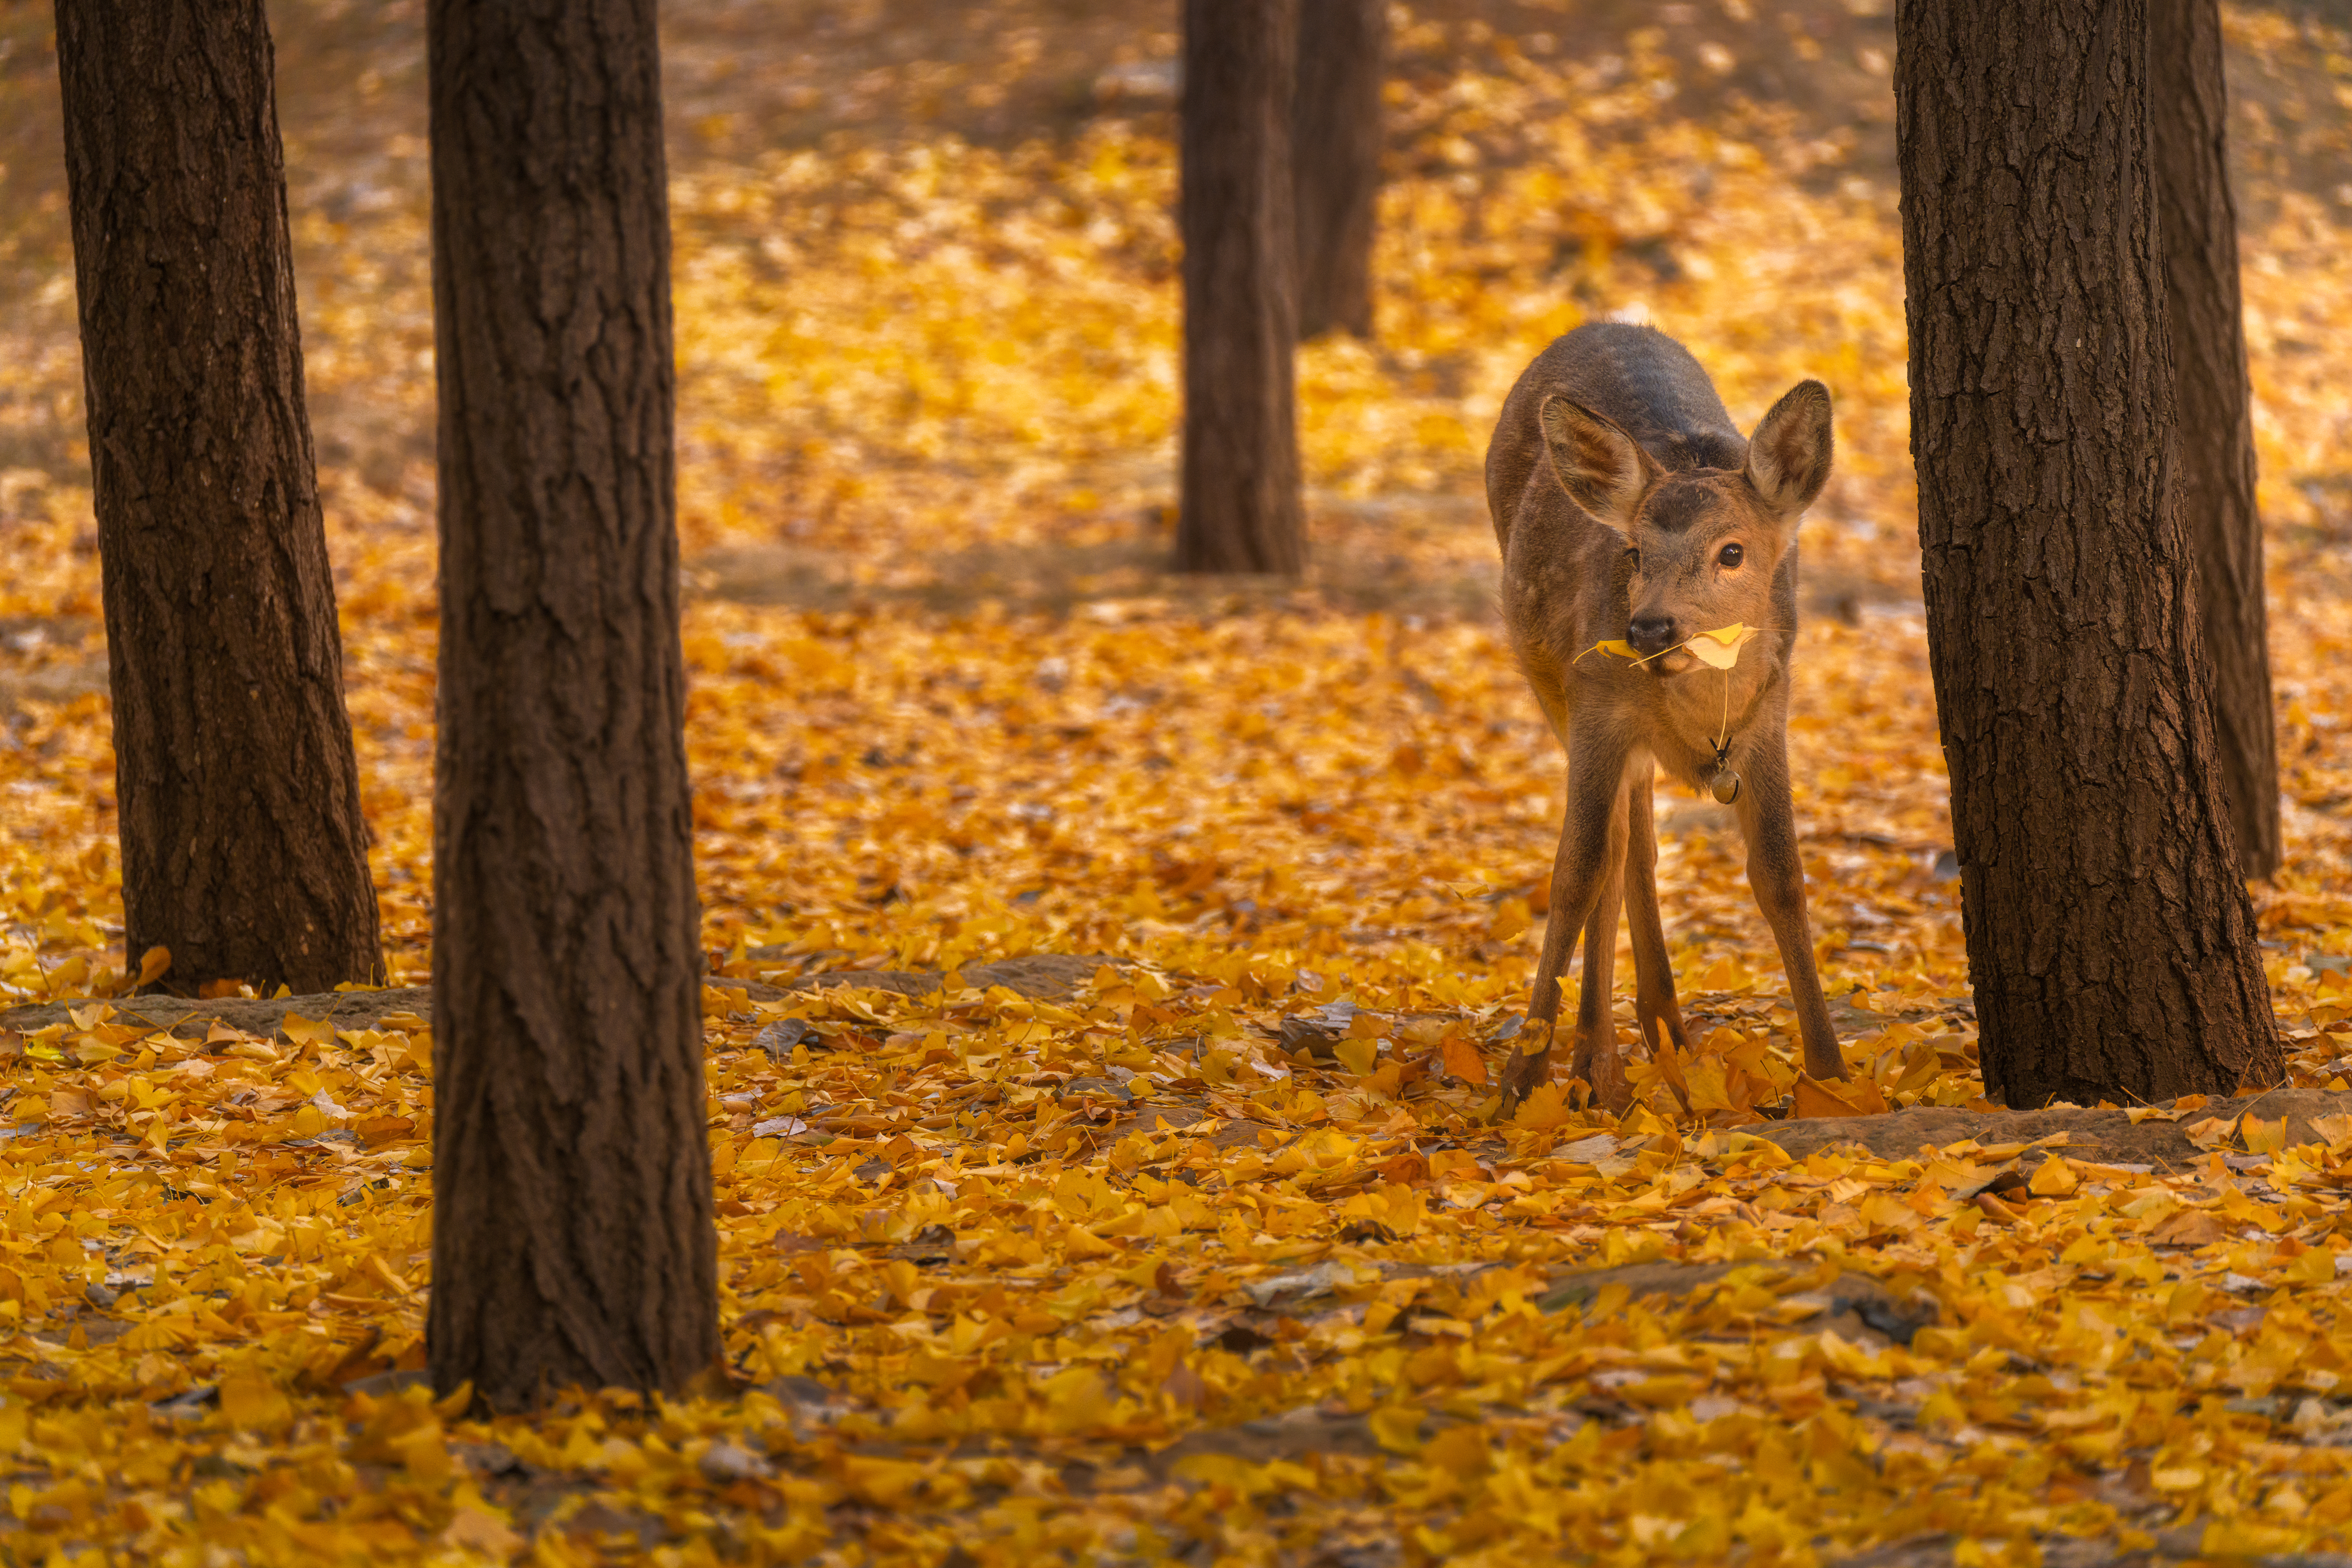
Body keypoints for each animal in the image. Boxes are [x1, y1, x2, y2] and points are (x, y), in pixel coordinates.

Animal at [1486, 319, 1853, 1109]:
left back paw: (1663, 1033)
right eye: (1633, 552)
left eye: (1733, 551)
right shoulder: (1595, 703)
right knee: (1621, 846)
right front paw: (1521, 1081)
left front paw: (1832, 1073)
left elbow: (1781, 875)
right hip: (1550, 682)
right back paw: (1597, 1061)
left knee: (1636, 844)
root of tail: (1599, 322)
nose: (1649, 627)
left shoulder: (1769, 716)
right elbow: (1576, 870)